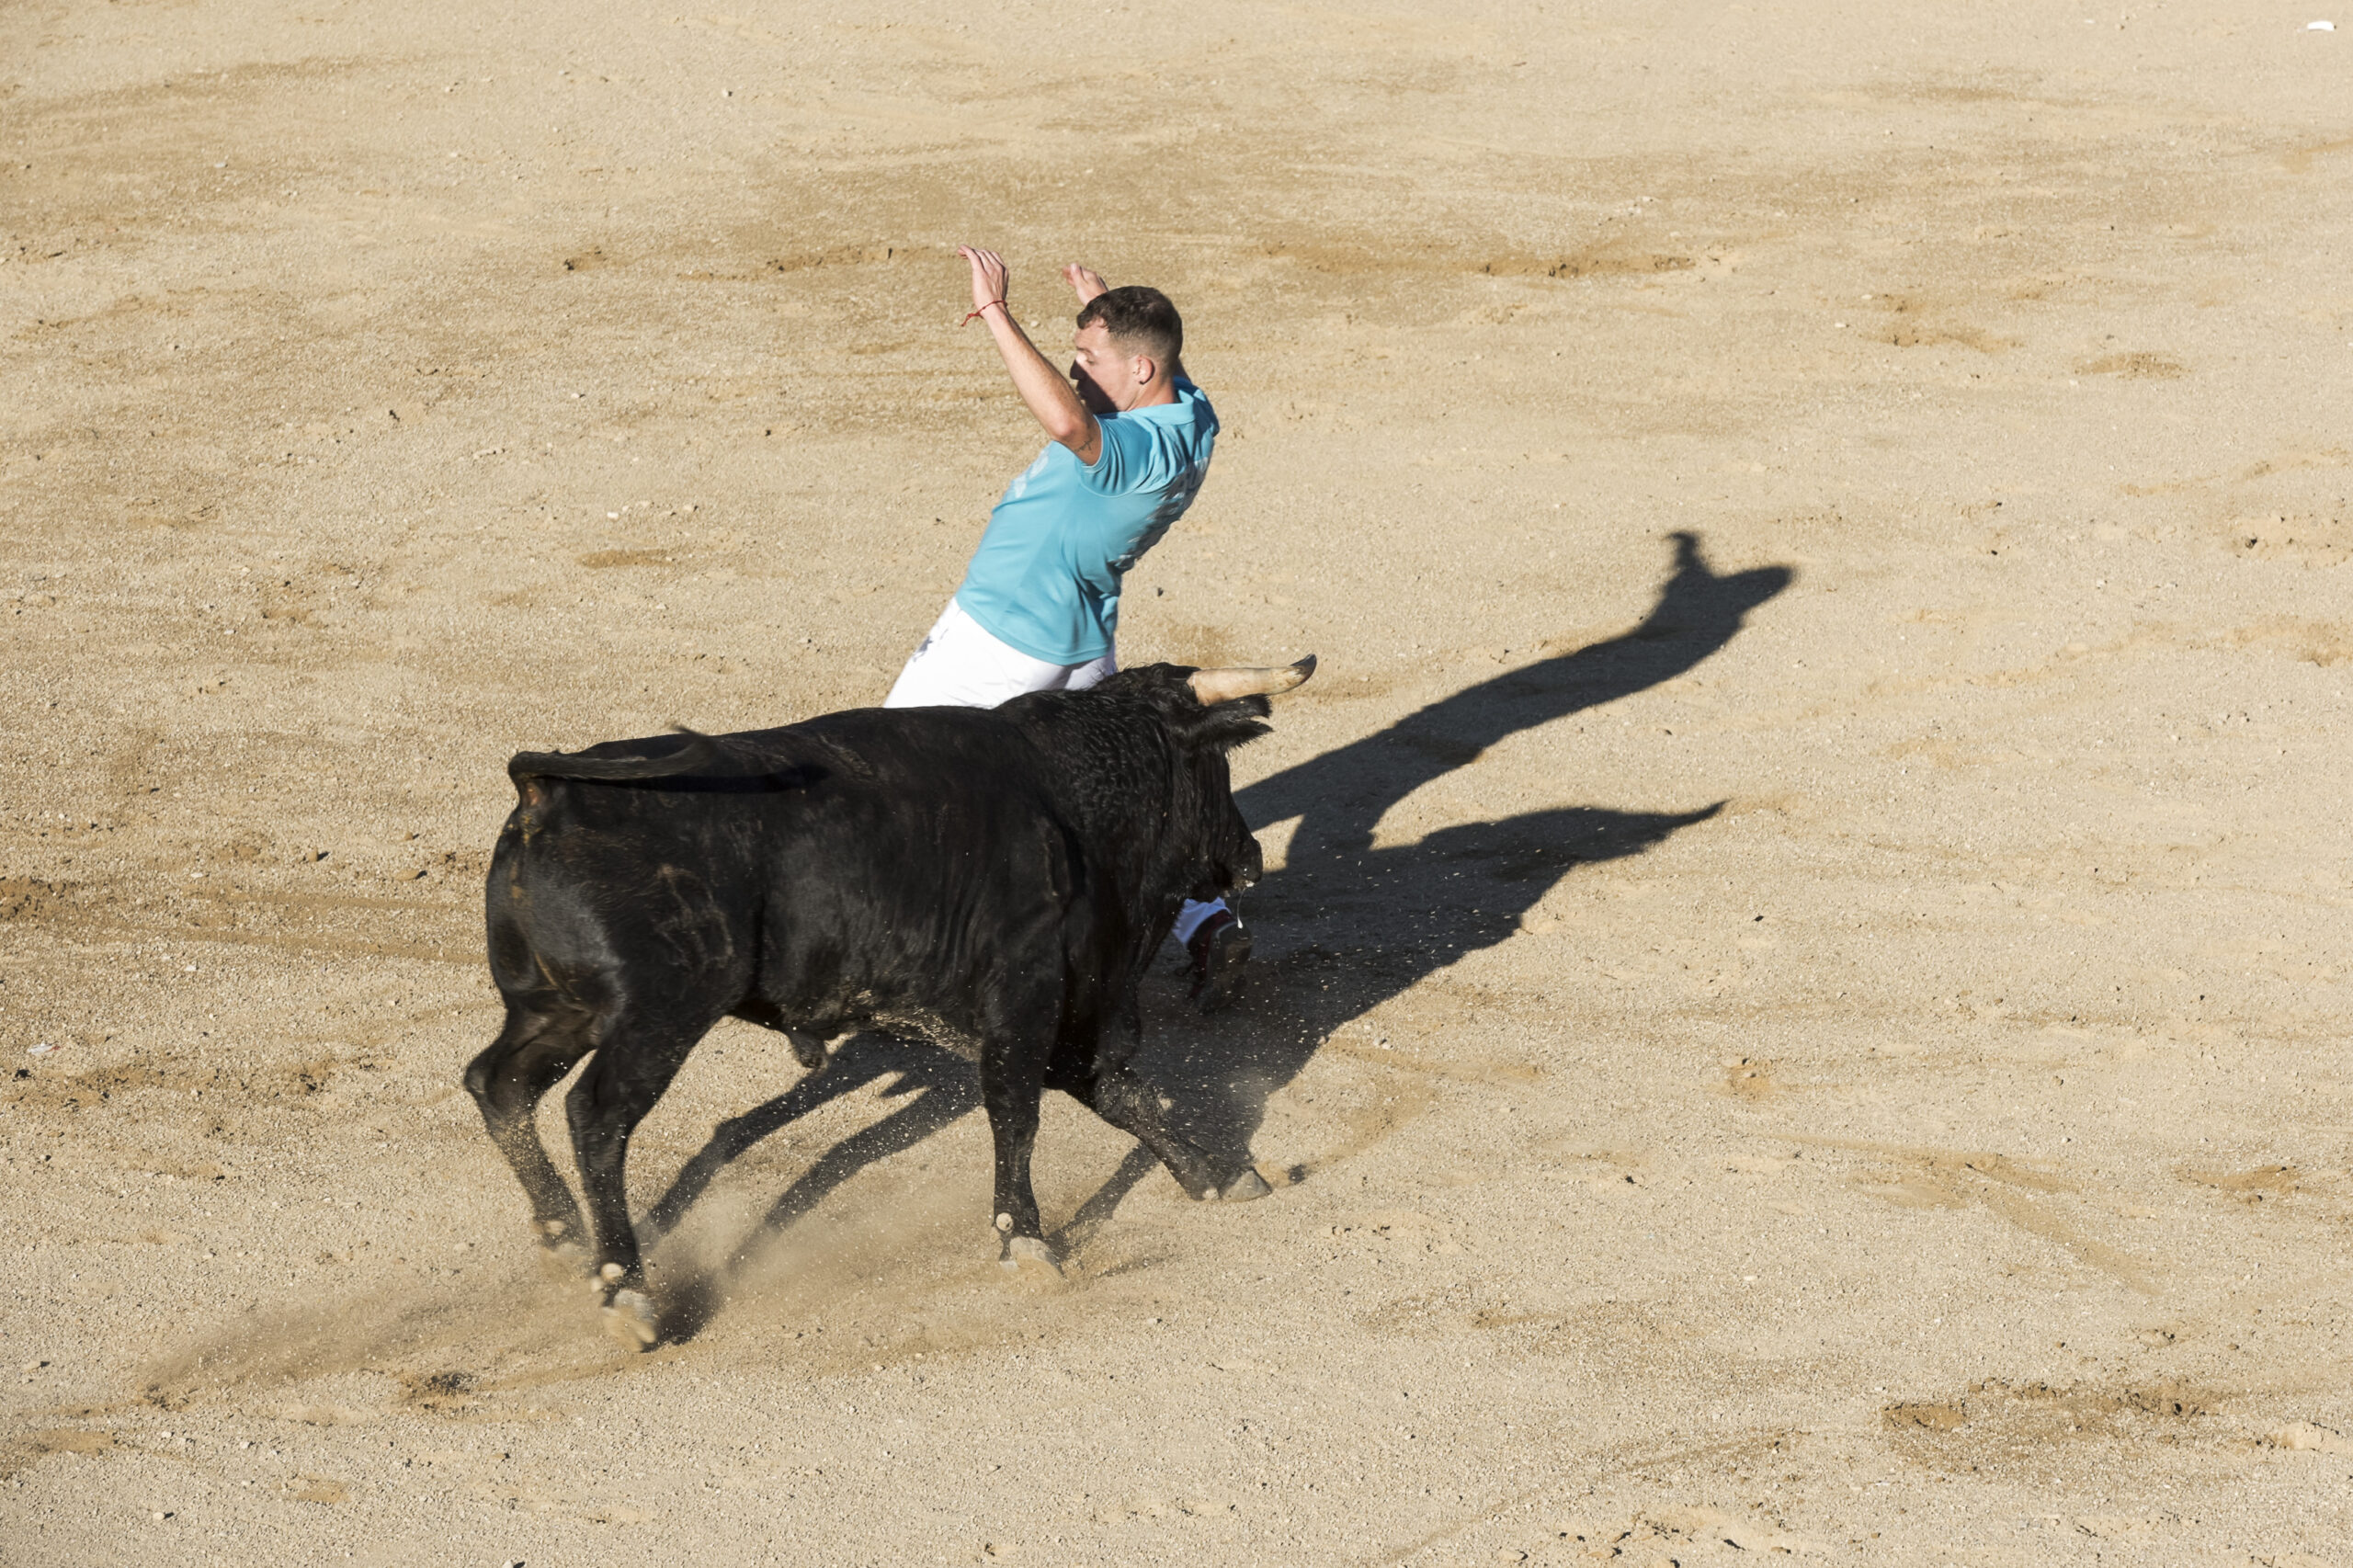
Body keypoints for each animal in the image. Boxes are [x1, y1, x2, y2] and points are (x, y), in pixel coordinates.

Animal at [459, 654, 1308, 1336]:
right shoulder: (1027, 996)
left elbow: (1120, 1094)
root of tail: (546, 790)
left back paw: (564, 1239)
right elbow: (1018, 1112)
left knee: (499, 1084)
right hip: (662, 1013)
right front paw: (1026, 1239)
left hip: (556, 1007)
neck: (1076, 793)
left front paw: (1221, 1175)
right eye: (1216, 766)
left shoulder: (1063, 1013)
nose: (1248, 855)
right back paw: (626, 1292)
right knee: (595, 1114)